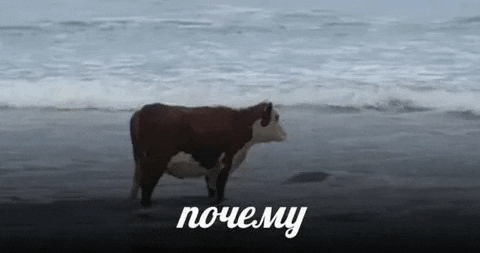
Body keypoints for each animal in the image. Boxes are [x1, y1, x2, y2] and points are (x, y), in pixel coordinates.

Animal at [127, 101, 286, 206]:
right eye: (276, 117)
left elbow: (211, 184)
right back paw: (147, 203)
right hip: (155, 162)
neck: (240, 123)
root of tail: (141, 111)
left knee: (137, 183)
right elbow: (220, 183)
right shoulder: (227, 160)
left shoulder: (213, 165)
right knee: (147, 184)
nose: (285, 134)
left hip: (141, 162)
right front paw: (220, 201)